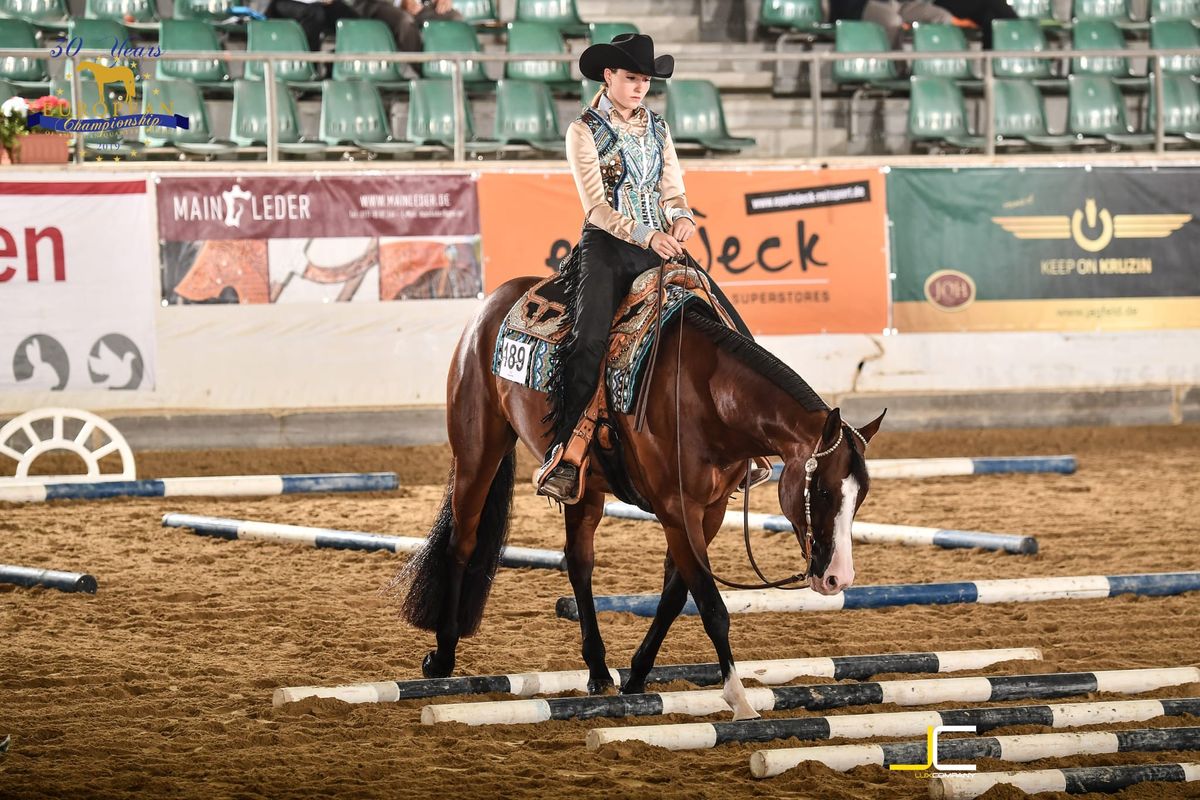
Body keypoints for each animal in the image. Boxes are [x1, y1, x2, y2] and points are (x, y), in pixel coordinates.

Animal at [388, 268, 888, 719]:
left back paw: (597, 671)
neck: (706, 395)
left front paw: (636, 676)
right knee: (462, 543)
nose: (838, 579)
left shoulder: (708, 512)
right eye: (821, 490)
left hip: (584, 488)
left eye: (860, 496)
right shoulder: (676, 510)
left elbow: (675, 595)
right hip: (477, 450)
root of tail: (493, 302)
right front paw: (739, 699)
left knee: (579, 562)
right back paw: (444, 656)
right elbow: (712, 605)